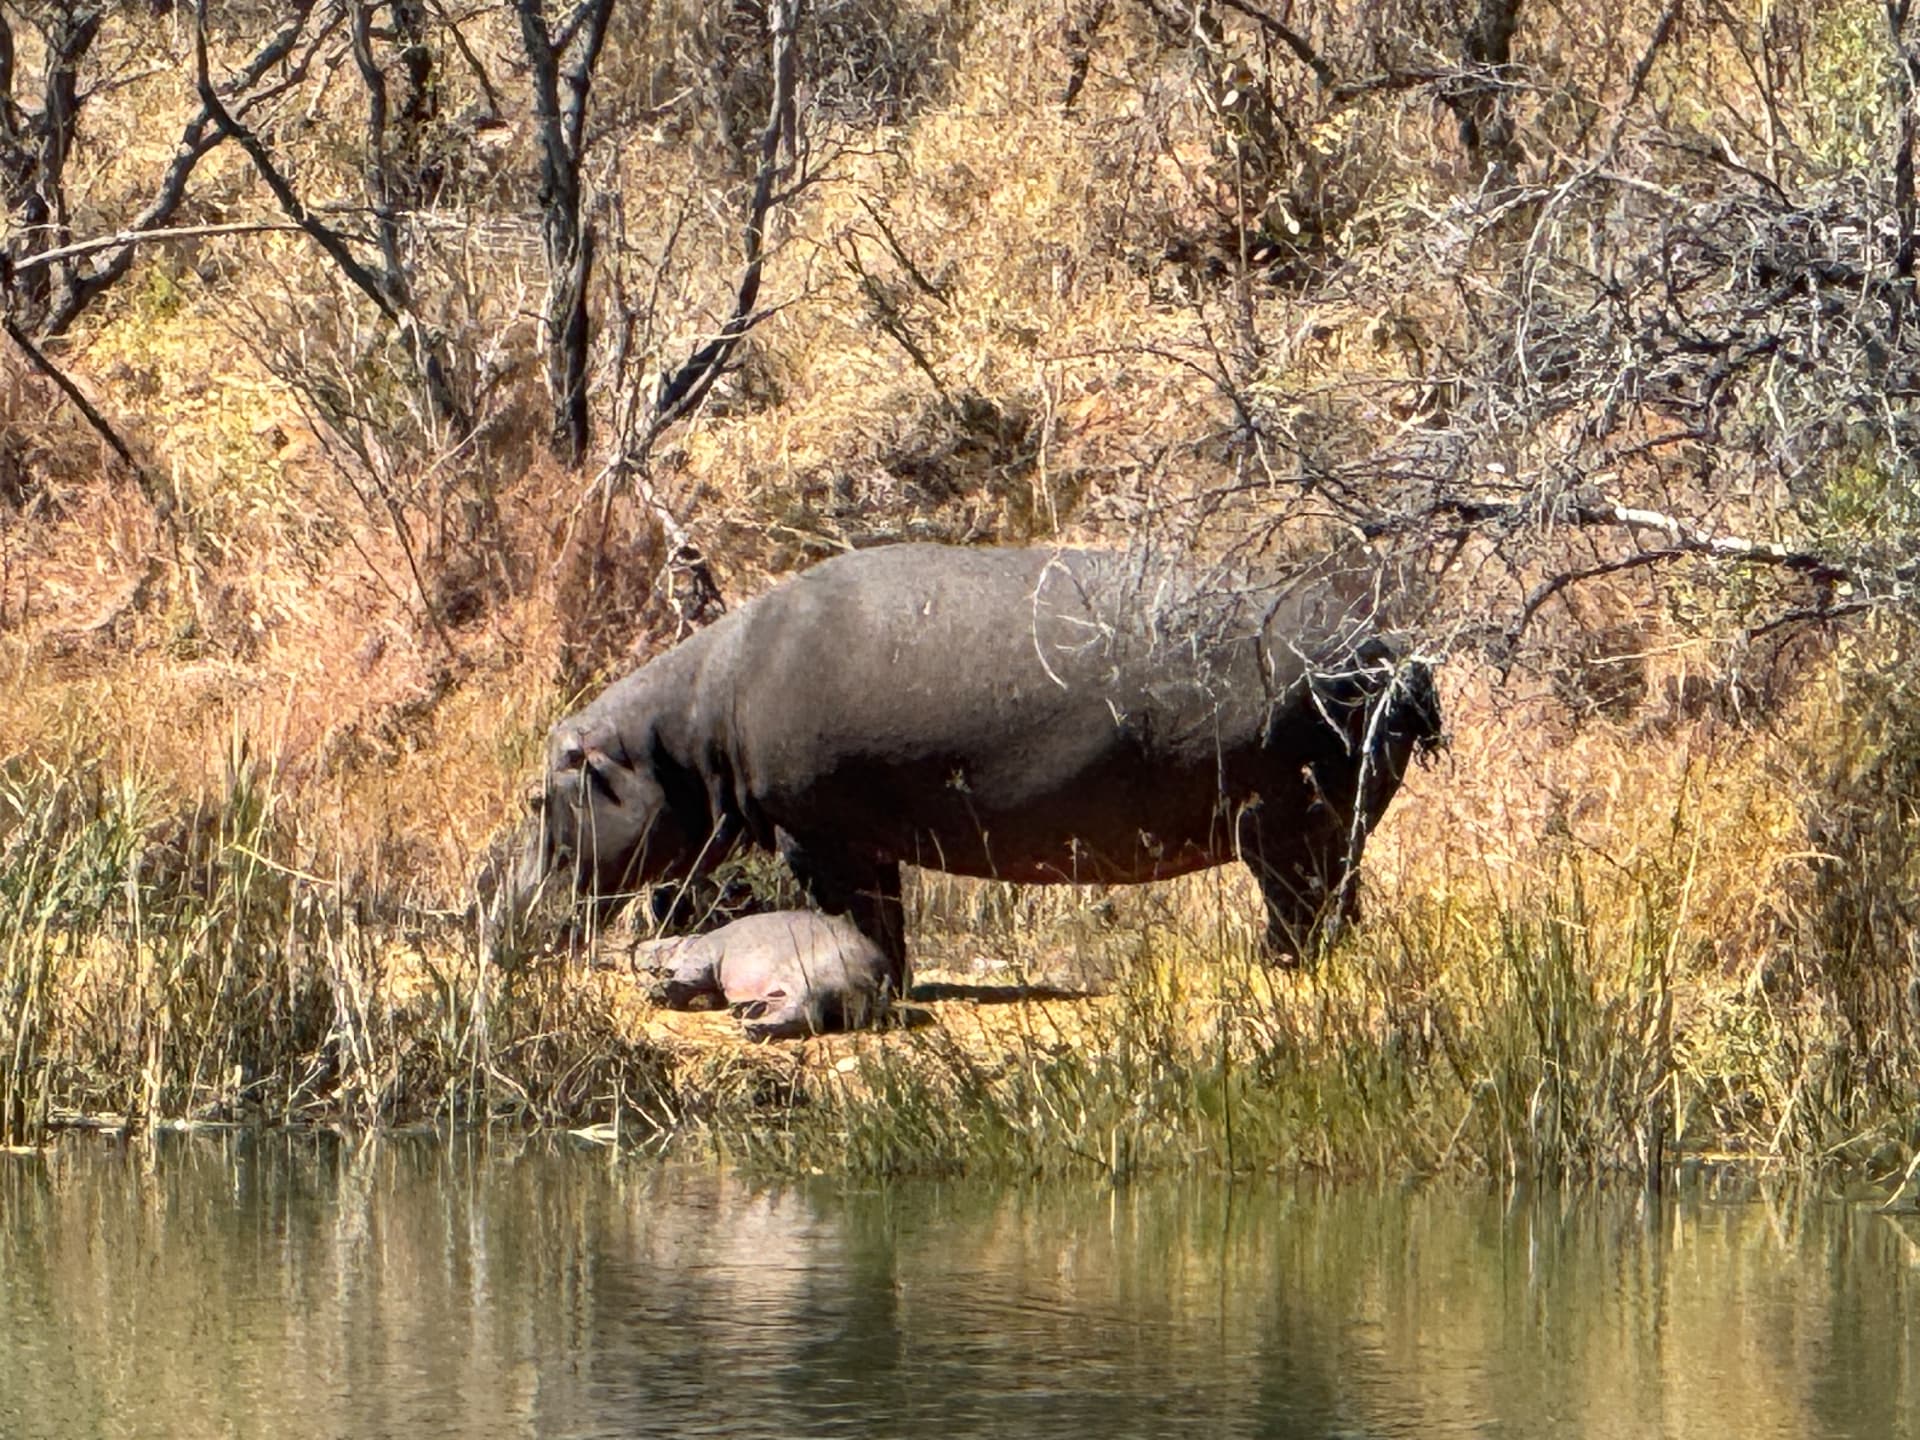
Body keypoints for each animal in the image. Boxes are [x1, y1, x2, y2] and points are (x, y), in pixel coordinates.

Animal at [505, 542, 1440, 983]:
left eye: (533, 798)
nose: (487, 896)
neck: (686, 732)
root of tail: (1390, 647)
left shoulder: (820, 838)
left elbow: (859, 918)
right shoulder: (857, 839)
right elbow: (882, 918)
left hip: (1288, 825)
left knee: (1302, 913)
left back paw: (1270, 971)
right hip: (1327, 825)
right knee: (1334, 909)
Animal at [637, 909, 892, 1040]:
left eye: (667, 942)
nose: (637, 945)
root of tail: (882, 968)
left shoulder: (705, 956)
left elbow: (692, 977)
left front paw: (658, 992)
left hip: (810, 975)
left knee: (808, 1014)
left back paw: (751, 1028)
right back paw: (745, 1012)